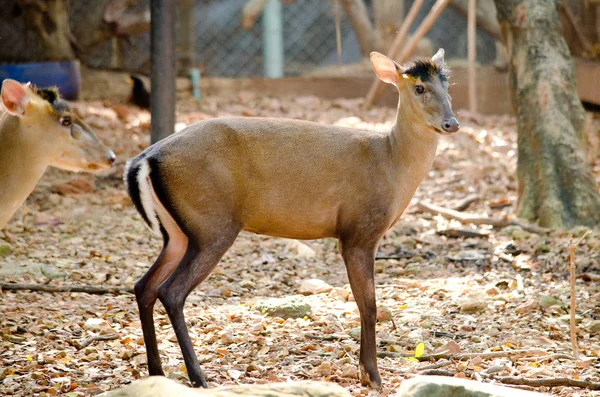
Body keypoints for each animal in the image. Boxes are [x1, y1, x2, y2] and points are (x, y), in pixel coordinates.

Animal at [123, 48, 460, 388]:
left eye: (447, 86)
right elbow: (368, 305)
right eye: (419, 88)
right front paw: (372, 376)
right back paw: (198, 377)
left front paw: (367, 372)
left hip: (178, 233)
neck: (391, 162)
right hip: (212, 225)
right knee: (171, 291)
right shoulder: (359, 231)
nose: (452, 123)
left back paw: (156, 372)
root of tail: (144, 159)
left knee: (143, 286)